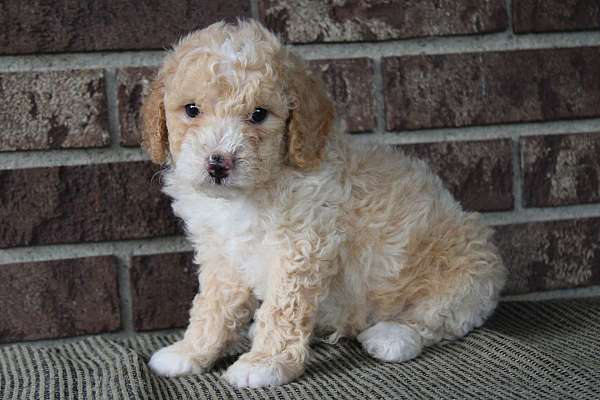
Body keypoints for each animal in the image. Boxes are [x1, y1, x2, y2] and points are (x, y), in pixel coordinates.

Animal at [142, 20, 506, 390]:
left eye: (259, 114)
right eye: (191, 110)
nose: (218, 164)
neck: (250, 192)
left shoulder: (299, 246)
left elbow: (282, 309)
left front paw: (265, 363)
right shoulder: (221, 254)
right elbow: (212, 306)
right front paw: (190, 351)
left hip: (465, 274)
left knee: (436, 318)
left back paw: (392, 335)